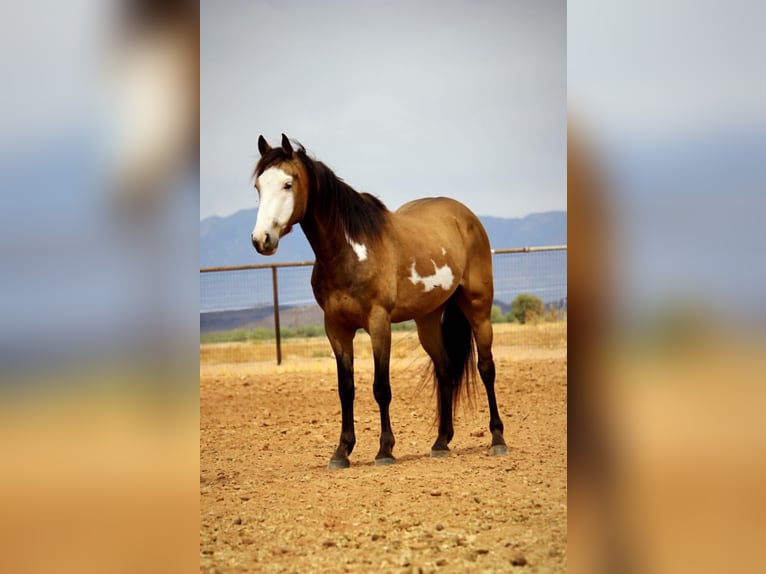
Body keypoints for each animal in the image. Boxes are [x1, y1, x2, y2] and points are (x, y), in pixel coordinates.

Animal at [251, 134, 507, 468]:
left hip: (479, 308)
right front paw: (342, 451)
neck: (350, 252)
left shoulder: (379, 323)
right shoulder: (336, 328)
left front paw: (385, 450)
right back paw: (440, 442)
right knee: (445, 370)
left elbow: (381, 387)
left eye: (288, 184)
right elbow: (346, 389)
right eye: (258, 186)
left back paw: (497, 438)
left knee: (486, 367)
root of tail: (466, 217)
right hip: (427, 319)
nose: (261, 239)